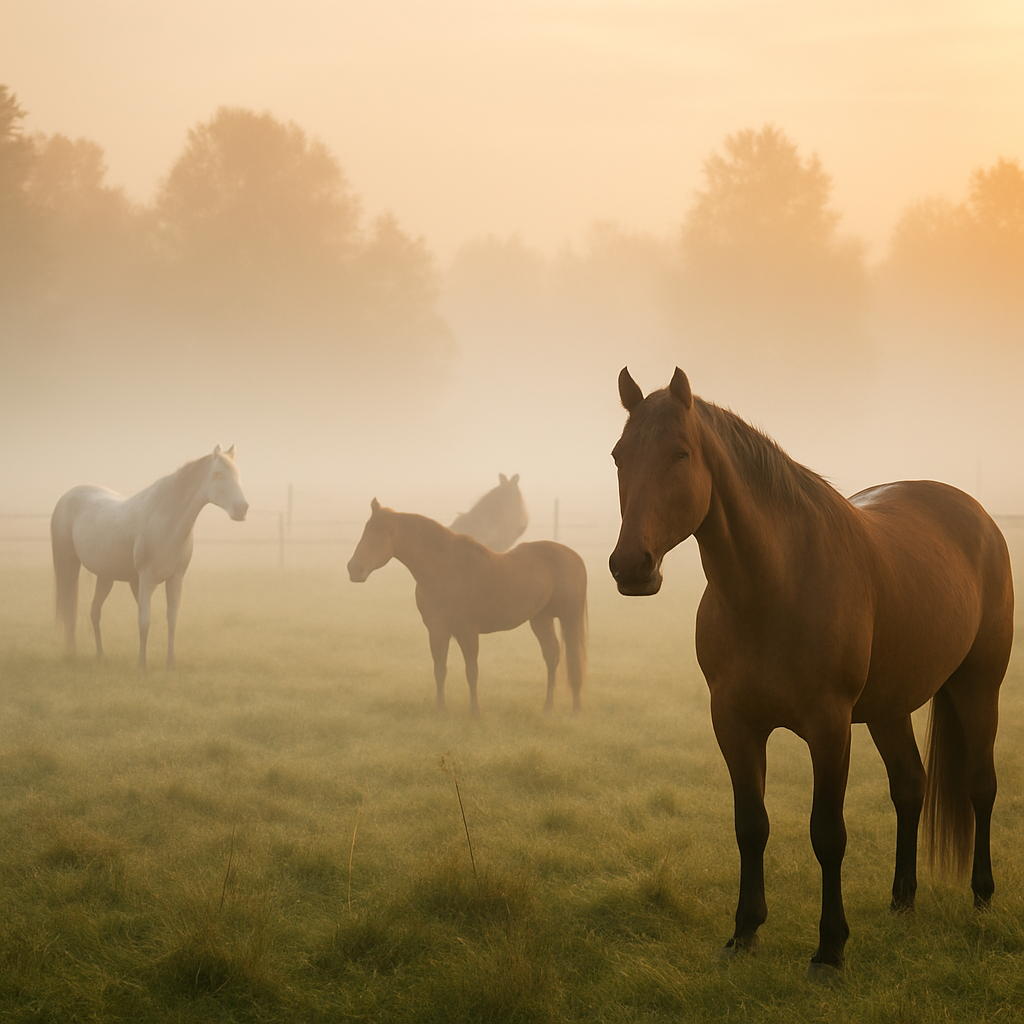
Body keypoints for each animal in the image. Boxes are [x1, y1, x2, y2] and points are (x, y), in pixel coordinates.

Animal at [51, 445, 249, 669]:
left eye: (237, 474)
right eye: (217, 474)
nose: (242, 509)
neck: (165, 520)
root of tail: (68, 495)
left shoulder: (175, 578)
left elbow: (172, 619)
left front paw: (170, 663)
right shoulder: (146, 578)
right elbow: (144, 621)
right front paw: (142, 665)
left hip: (105, 576)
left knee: (94, 612)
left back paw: (100, 655)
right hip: (69, 565)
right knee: (70, 608)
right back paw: (71, 653)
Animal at [348, 499, 586, 716]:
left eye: (380, 533)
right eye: (366, 531)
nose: (354, 569)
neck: (445, 569)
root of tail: (573, 555)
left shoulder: (468, 631)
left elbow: (472, 671)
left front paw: (475, 712)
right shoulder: (437, 631)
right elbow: (440, 670)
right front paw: (440, 710)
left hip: (570, 618)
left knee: (573, 660)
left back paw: (575, 709)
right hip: (541, 618)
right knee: (552, 656)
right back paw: (548, 707)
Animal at [609, 367, 1013, 976]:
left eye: (680, 453)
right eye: (618, 455)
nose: (631, 566)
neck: (775, 586)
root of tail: (978, 516)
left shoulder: (829, 727)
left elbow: (827, 833)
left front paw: (829, 949)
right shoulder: (734, 724)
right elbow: (751, 826)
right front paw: (744, 933)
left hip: (978, 687)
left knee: (979, 786)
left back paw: (983, 898)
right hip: (890, 708)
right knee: (910, 787)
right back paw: (902, 901)